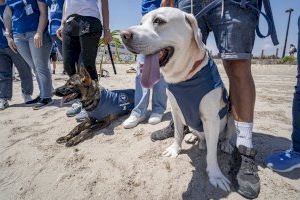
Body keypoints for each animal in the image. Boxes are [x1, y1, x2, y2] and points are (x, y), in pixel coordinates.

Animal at [120, 7, 236, 191]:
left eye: (158, 21)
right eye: (140, 23)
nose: (123, 35)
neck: (185, 78)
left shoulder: (211, 118)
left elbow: (211, 154)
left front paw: (216, 175)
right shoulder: (175, 111)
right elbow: (177, 133)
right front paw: (175, 149)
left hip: (230, 115)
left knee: (226, 135)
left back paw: (226, 144)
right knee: (201, 137)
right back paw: (193, 138)